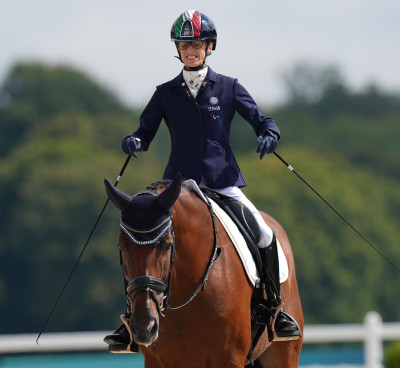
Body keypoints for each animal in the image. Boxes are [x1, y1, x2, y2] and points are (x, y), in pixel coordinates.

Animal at [104, 173, 304, 368]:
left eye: (167, 245)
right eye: (122, 247)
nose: (144, 327)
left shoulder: (229, 358)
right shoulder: (156, 361)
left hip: (284, 353)